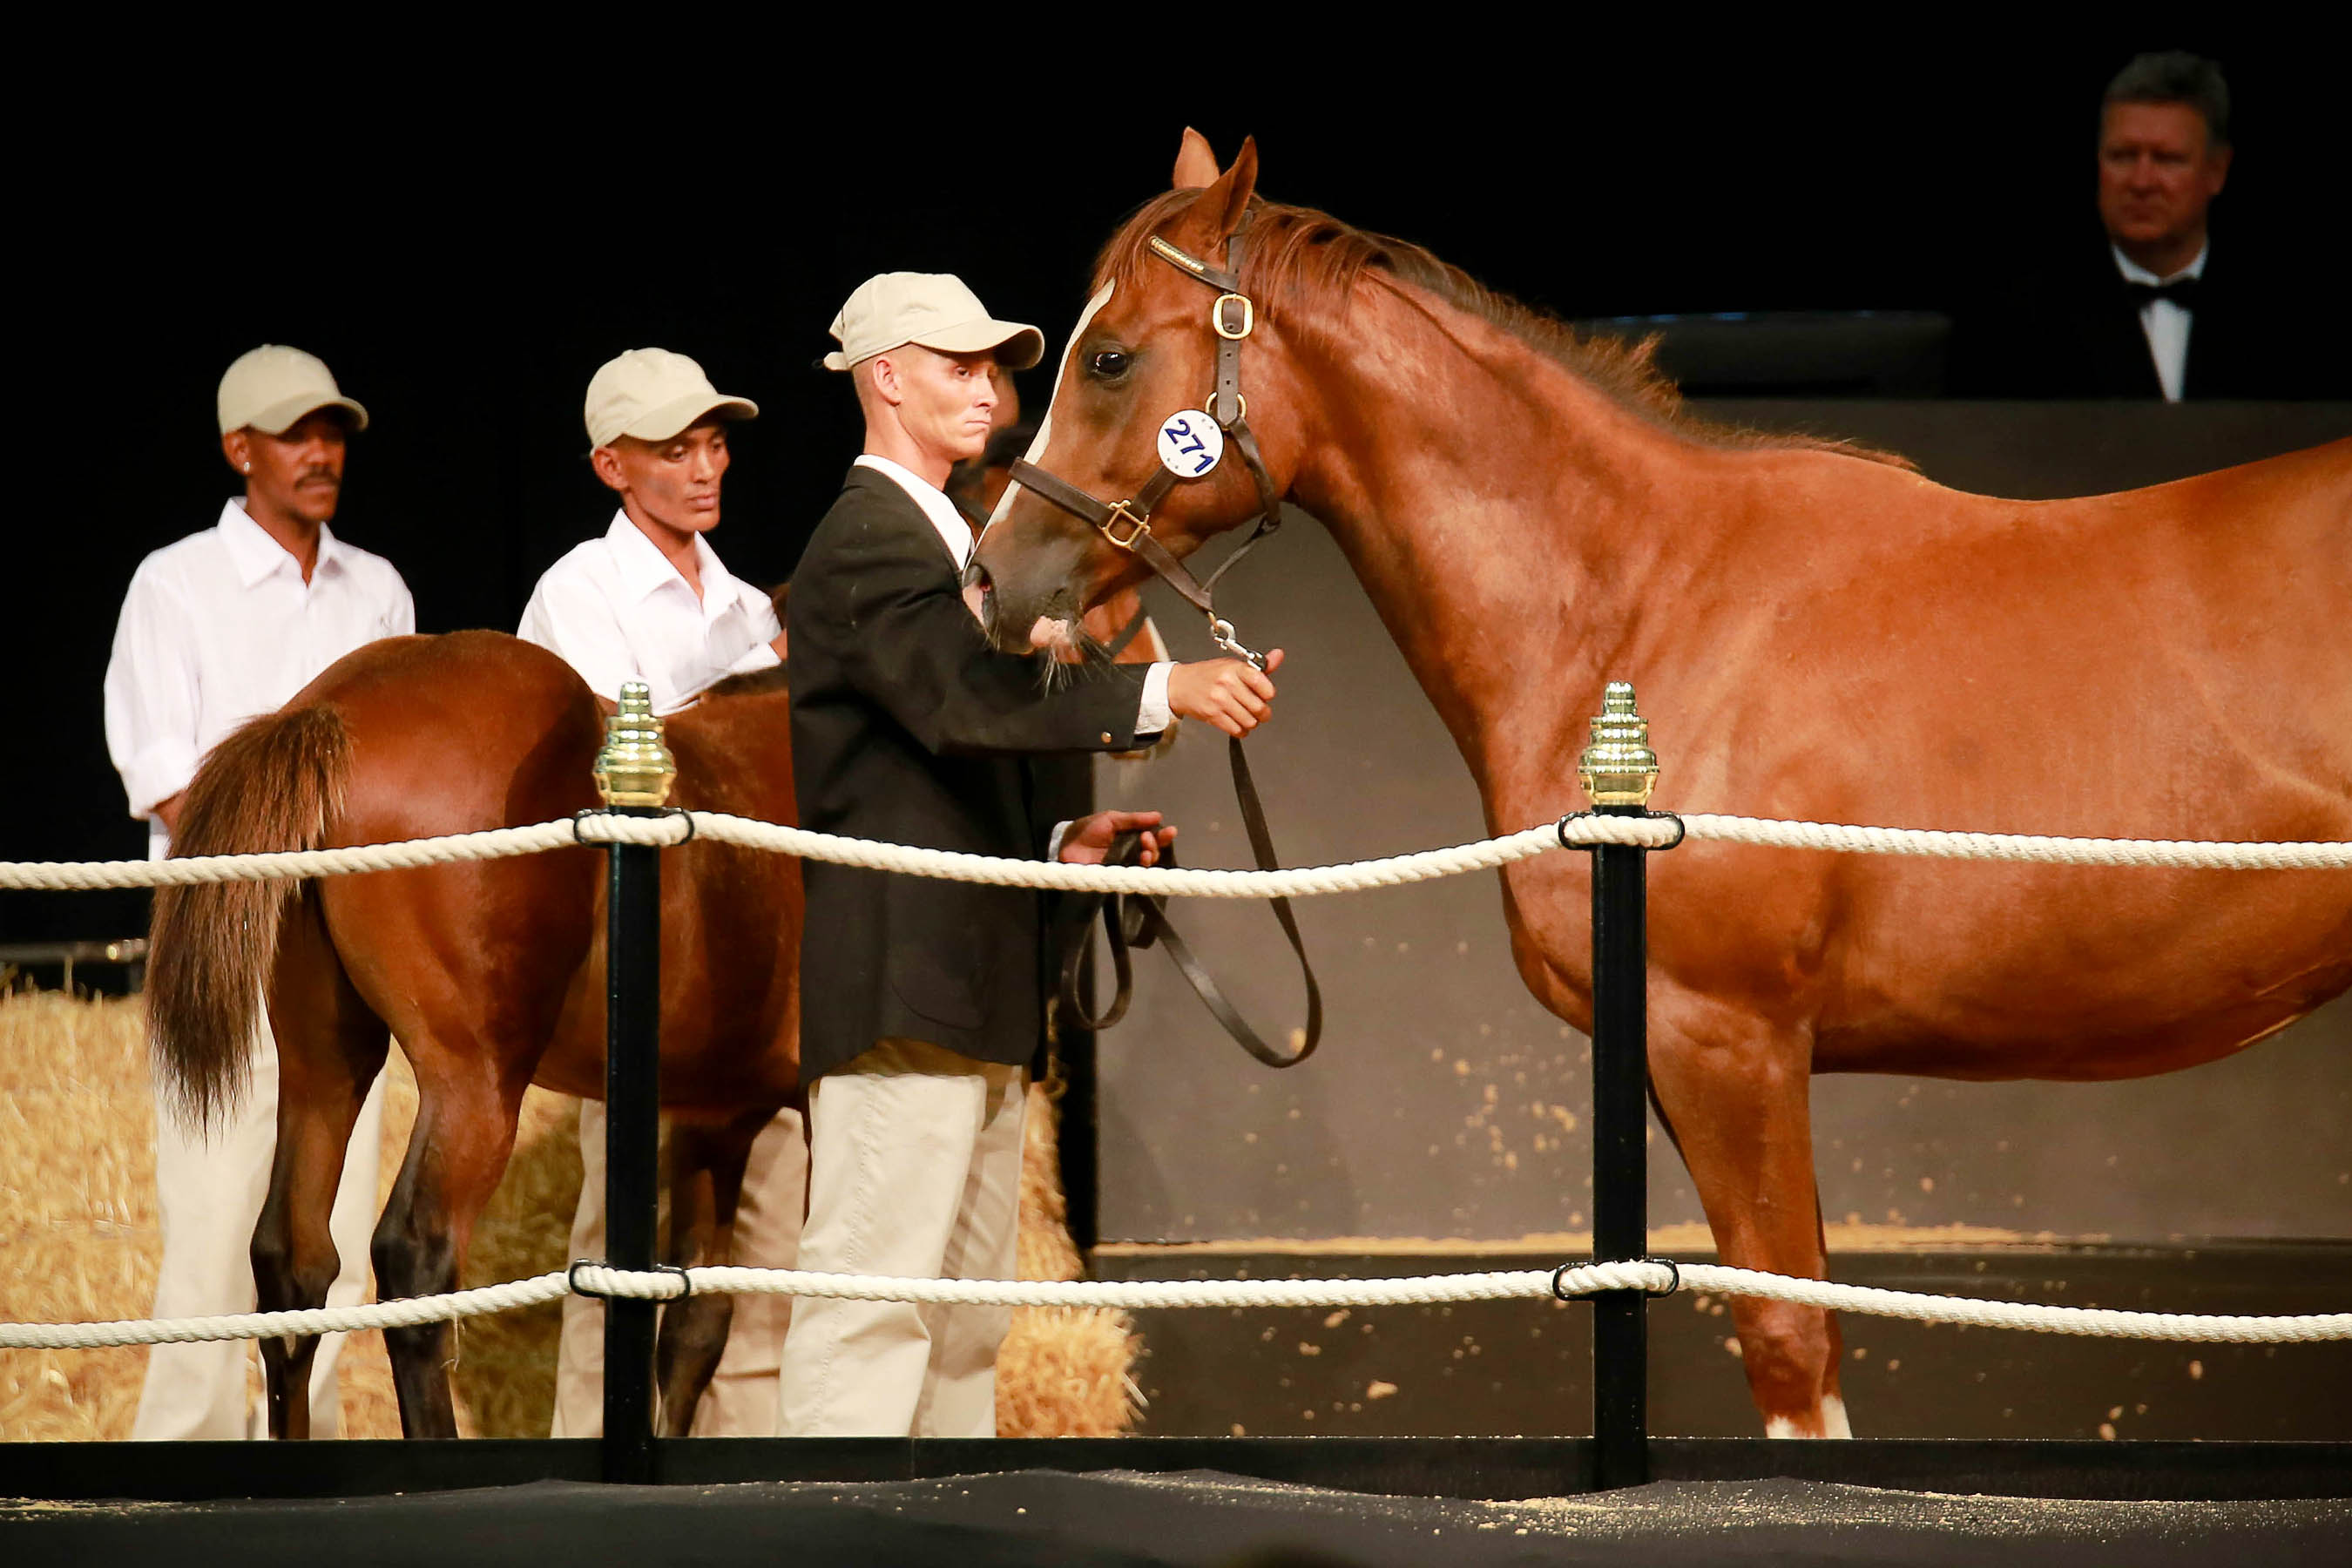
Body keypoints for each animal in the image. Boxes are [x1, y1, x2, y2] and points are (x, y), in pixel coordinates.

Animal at [148, 579, 1166, 1439]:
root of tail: (337, 710)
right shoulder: (822, 1110)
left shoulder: (716, 1122)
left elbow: (695, 1327)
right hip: (472, 1084)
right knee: (412, 1261)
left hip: (325, 1061)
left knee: (293, 1261)